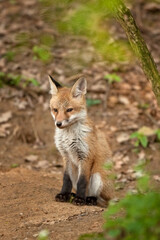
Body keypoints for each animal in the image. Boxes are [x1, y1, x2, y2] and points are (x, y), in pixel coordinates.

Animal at [48, 75, 114, 206]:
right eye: (55, 110)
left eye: (69, 110)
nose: (58, 123)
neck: (68, 136)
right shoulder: (66, 156)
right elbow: (66, 179)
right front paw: (64, 194)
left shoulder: (86, 155)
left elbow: (82, 181)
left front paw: (79, 199)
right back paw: (72, 195)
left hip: (97, 176)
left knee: (102, 200)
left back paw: (89, 199)